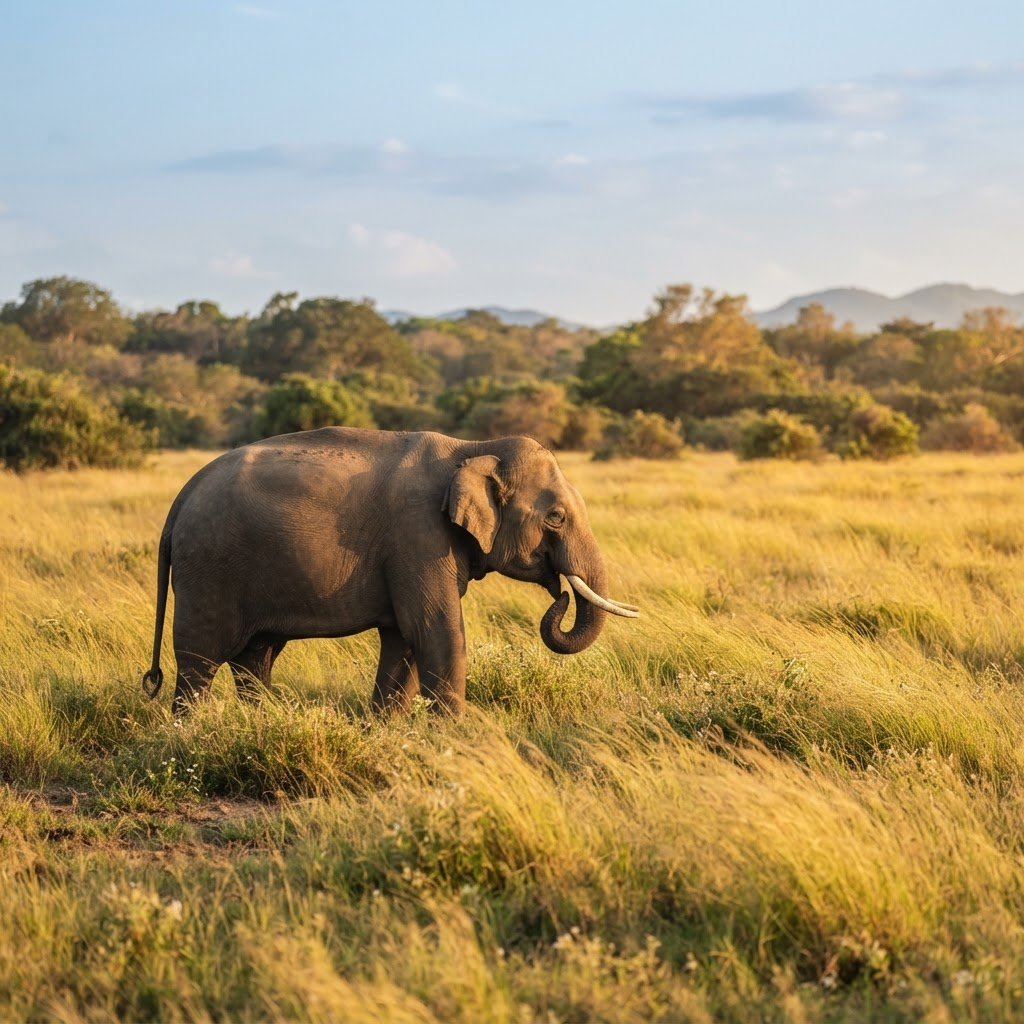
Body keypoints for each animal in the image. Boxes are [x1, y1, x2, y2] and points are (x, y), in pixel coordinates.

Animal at [141, 427, 638, 715]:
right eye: (555, 517)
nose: (560, 593)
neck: (474, 449)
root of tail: (179, 500)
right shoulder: (419, 536)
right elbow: (434, 628)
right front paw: (454, 739)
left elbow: (403, 638)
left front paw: (384, 729)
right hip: (208, 568)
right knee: (200, 659)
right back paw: (191, 731)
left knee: (255, 657)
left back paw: (260, 721)